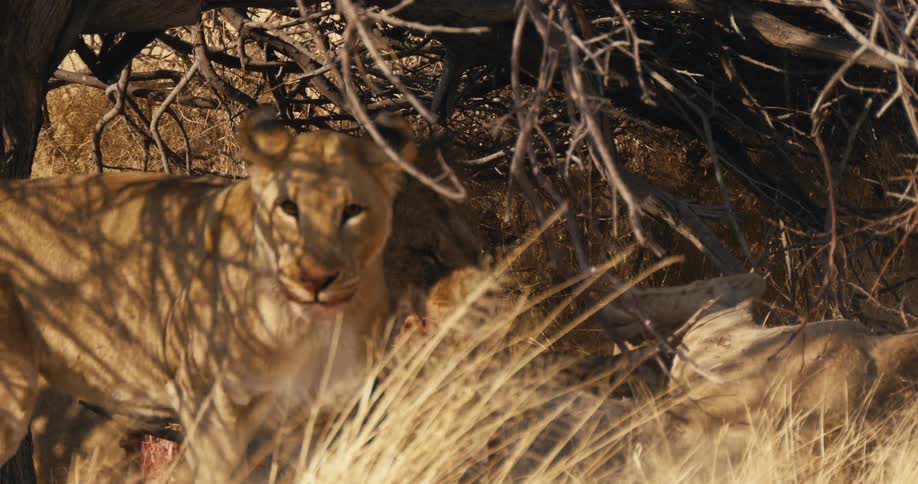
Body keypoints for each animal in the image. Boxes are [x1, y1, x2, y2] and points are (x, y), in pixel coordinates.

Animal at [0, 106, 415, 482]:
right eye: (289, 207)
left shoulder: (328, 411)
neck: (306, 330)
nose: (314, 279)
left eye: (352, 210)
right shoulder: (210, 401)